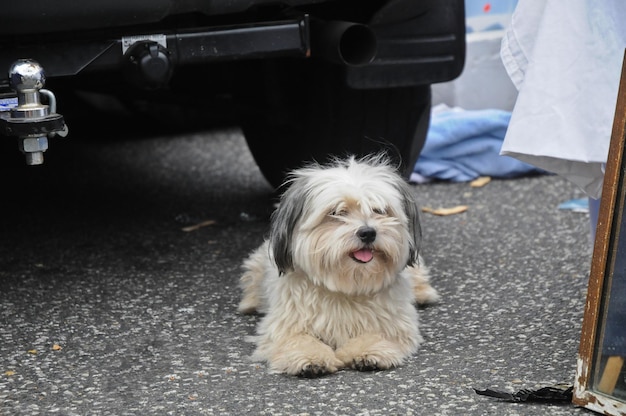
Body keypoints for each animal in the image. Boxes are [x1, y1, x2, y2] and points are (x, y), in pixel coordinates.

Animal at [236, 153, 436, 376]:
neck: (346, 286)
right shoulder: (285, 325)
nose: (368, 232)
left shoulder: (395, 324)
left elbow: (378, 333)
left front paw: (368, 350)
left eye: (379, 210)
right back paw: (250, 302)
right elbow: (298, 339)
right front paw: (310, 357)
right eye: (337, 212)